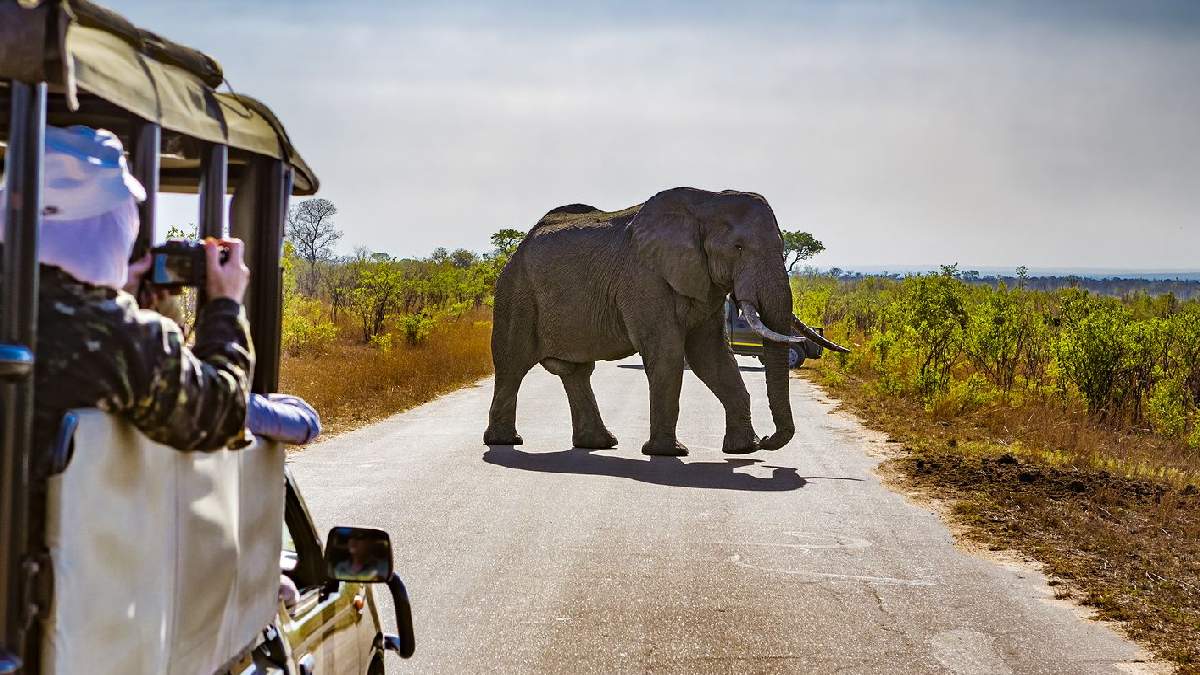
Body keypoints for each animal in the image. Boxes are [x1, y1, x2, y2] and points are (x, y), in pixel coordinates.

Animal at [482, 186, 849, 454]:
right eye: (738, 248)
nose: (771, 442)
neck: (707, 202)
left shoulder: (703, 284)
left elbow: (712, 357)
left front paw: (743, 450)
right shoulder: (645, 278)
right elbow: (668, 354)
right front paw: (669, 453)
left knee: (576, 372)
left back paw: (599, 444)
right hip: (516, 292)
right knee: (513, 364)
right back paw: (505, 442)